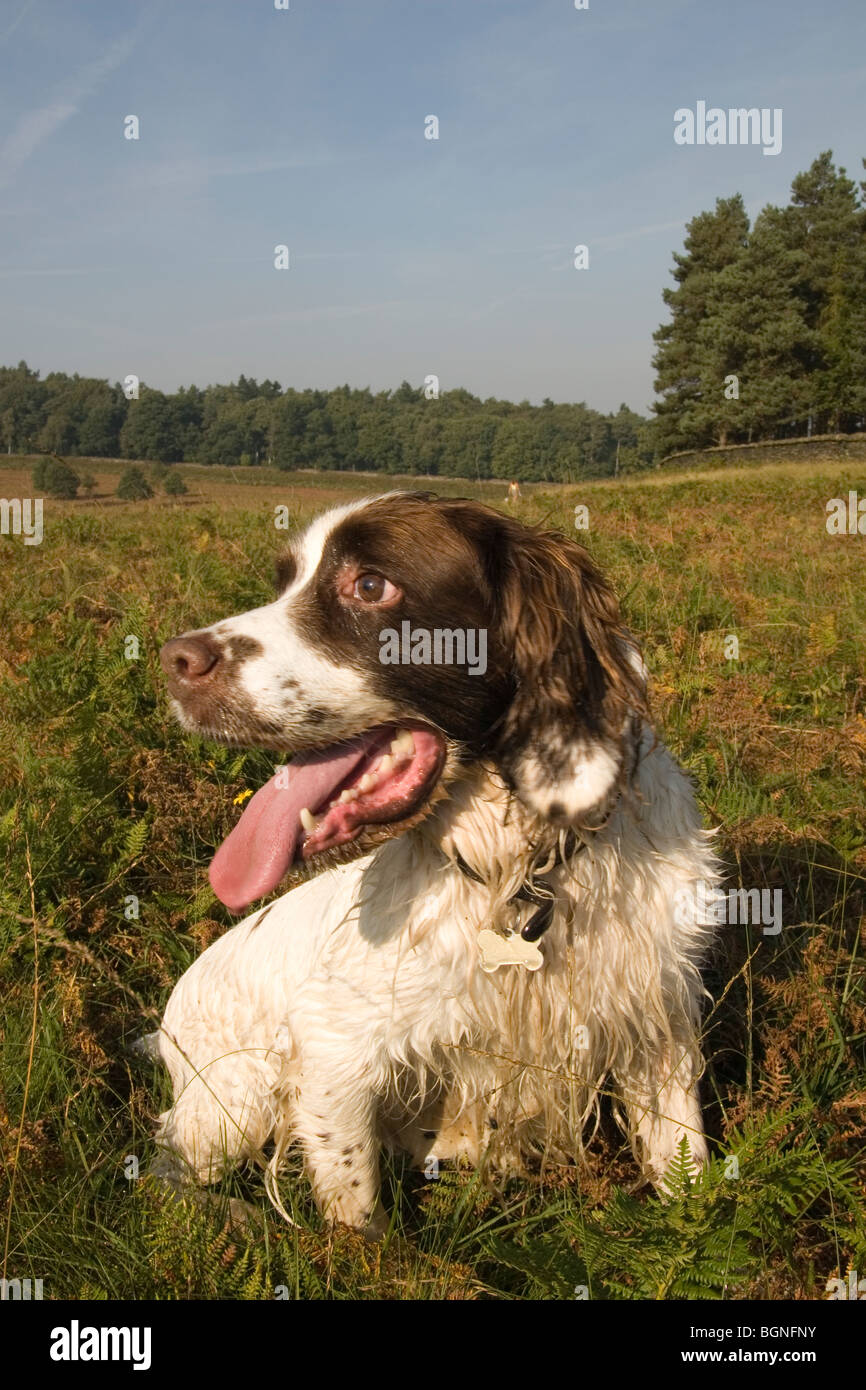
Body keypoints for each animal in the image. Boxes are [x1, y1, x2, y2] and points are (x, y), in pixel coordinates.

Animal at [154, 494, 717, 1234]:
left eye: (370, 585)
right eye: (285, 581)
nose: (172, 660)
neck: (521, 876)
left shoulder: (658, 1020)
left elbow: (689, 1173)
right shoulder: (332, 1055)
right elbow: (358, 1216)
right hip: (234, 1100)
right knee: (168, 1171)